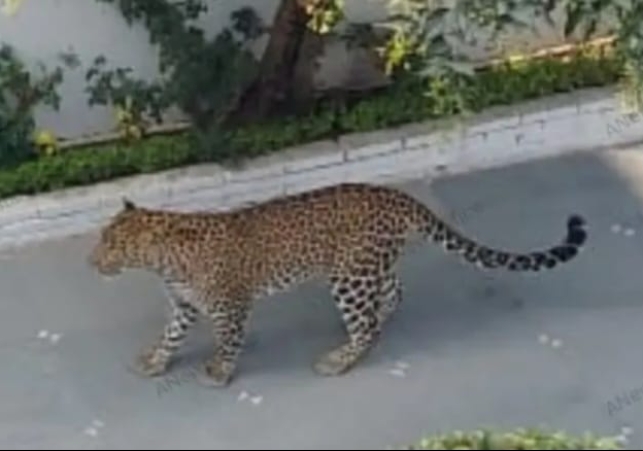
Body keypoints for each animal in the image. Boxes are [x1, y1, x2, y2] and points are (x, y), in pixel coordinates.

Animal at [87, 182, 587, 387]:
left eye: (112, 244)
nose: (92, 262)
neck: (164, 263)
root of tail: (398, 197)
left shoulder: (231, 305)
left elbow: (229, 341)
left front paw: (219, 373)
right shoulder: (185, 304)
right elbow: (171, 335)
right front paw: (156, 361)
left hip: (349, 277)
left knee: (365, 325)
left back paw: (340, 359)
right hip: (363, 268)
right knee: (392, 292)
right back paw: (375, 323)